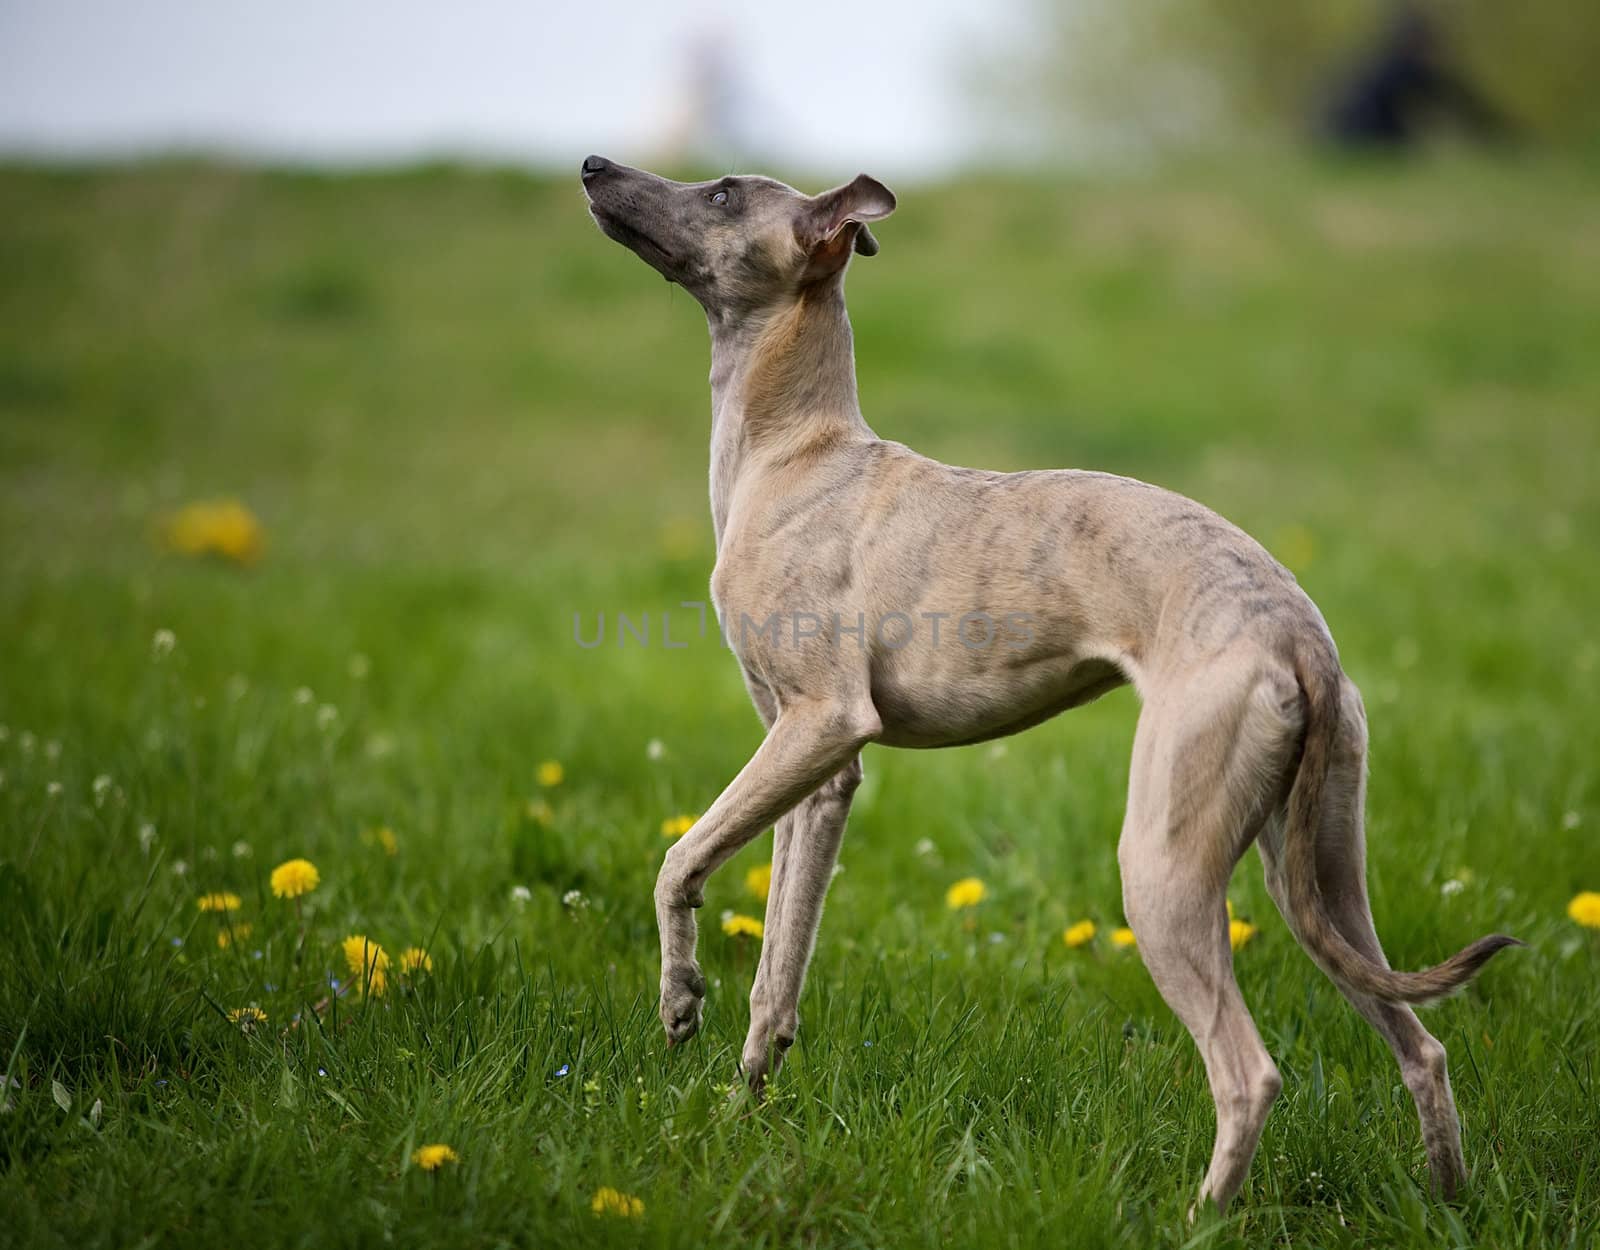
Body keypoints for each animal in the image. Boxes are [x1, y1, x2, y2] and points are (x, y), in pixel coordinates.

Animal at [582, 156, 1516, 1209]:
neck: (797, 458)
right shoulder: (817, 771)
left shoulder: (823, 721)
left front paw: (679, 1002)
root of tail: (1295, 631)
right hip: (1315, 872)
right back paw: (1447, 1200)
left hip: (1163, 866)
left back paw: (1199, 1216)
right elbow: (779, 963)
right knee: (1422, 1045)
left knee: (1250, 1073)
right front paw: (746, 1106)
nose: (592, 166)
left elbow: (678, 862)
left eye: (724, 193)